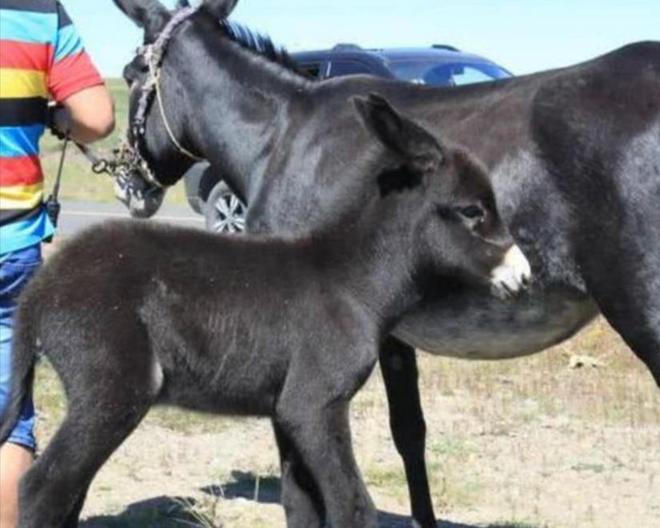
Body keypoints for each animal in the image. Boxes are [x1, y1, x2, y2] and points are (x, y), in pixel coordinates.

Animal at [0, 96, 528, 528]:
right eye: (472, 212)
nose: (524, 277)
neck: (352, 279)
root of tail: (40, 289)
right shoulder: (314, 405)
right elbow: (353, 507)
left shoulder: (289, 412)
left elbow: (305, 507)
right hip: (112, 388)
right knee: (42, 489)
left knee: (68, 492)